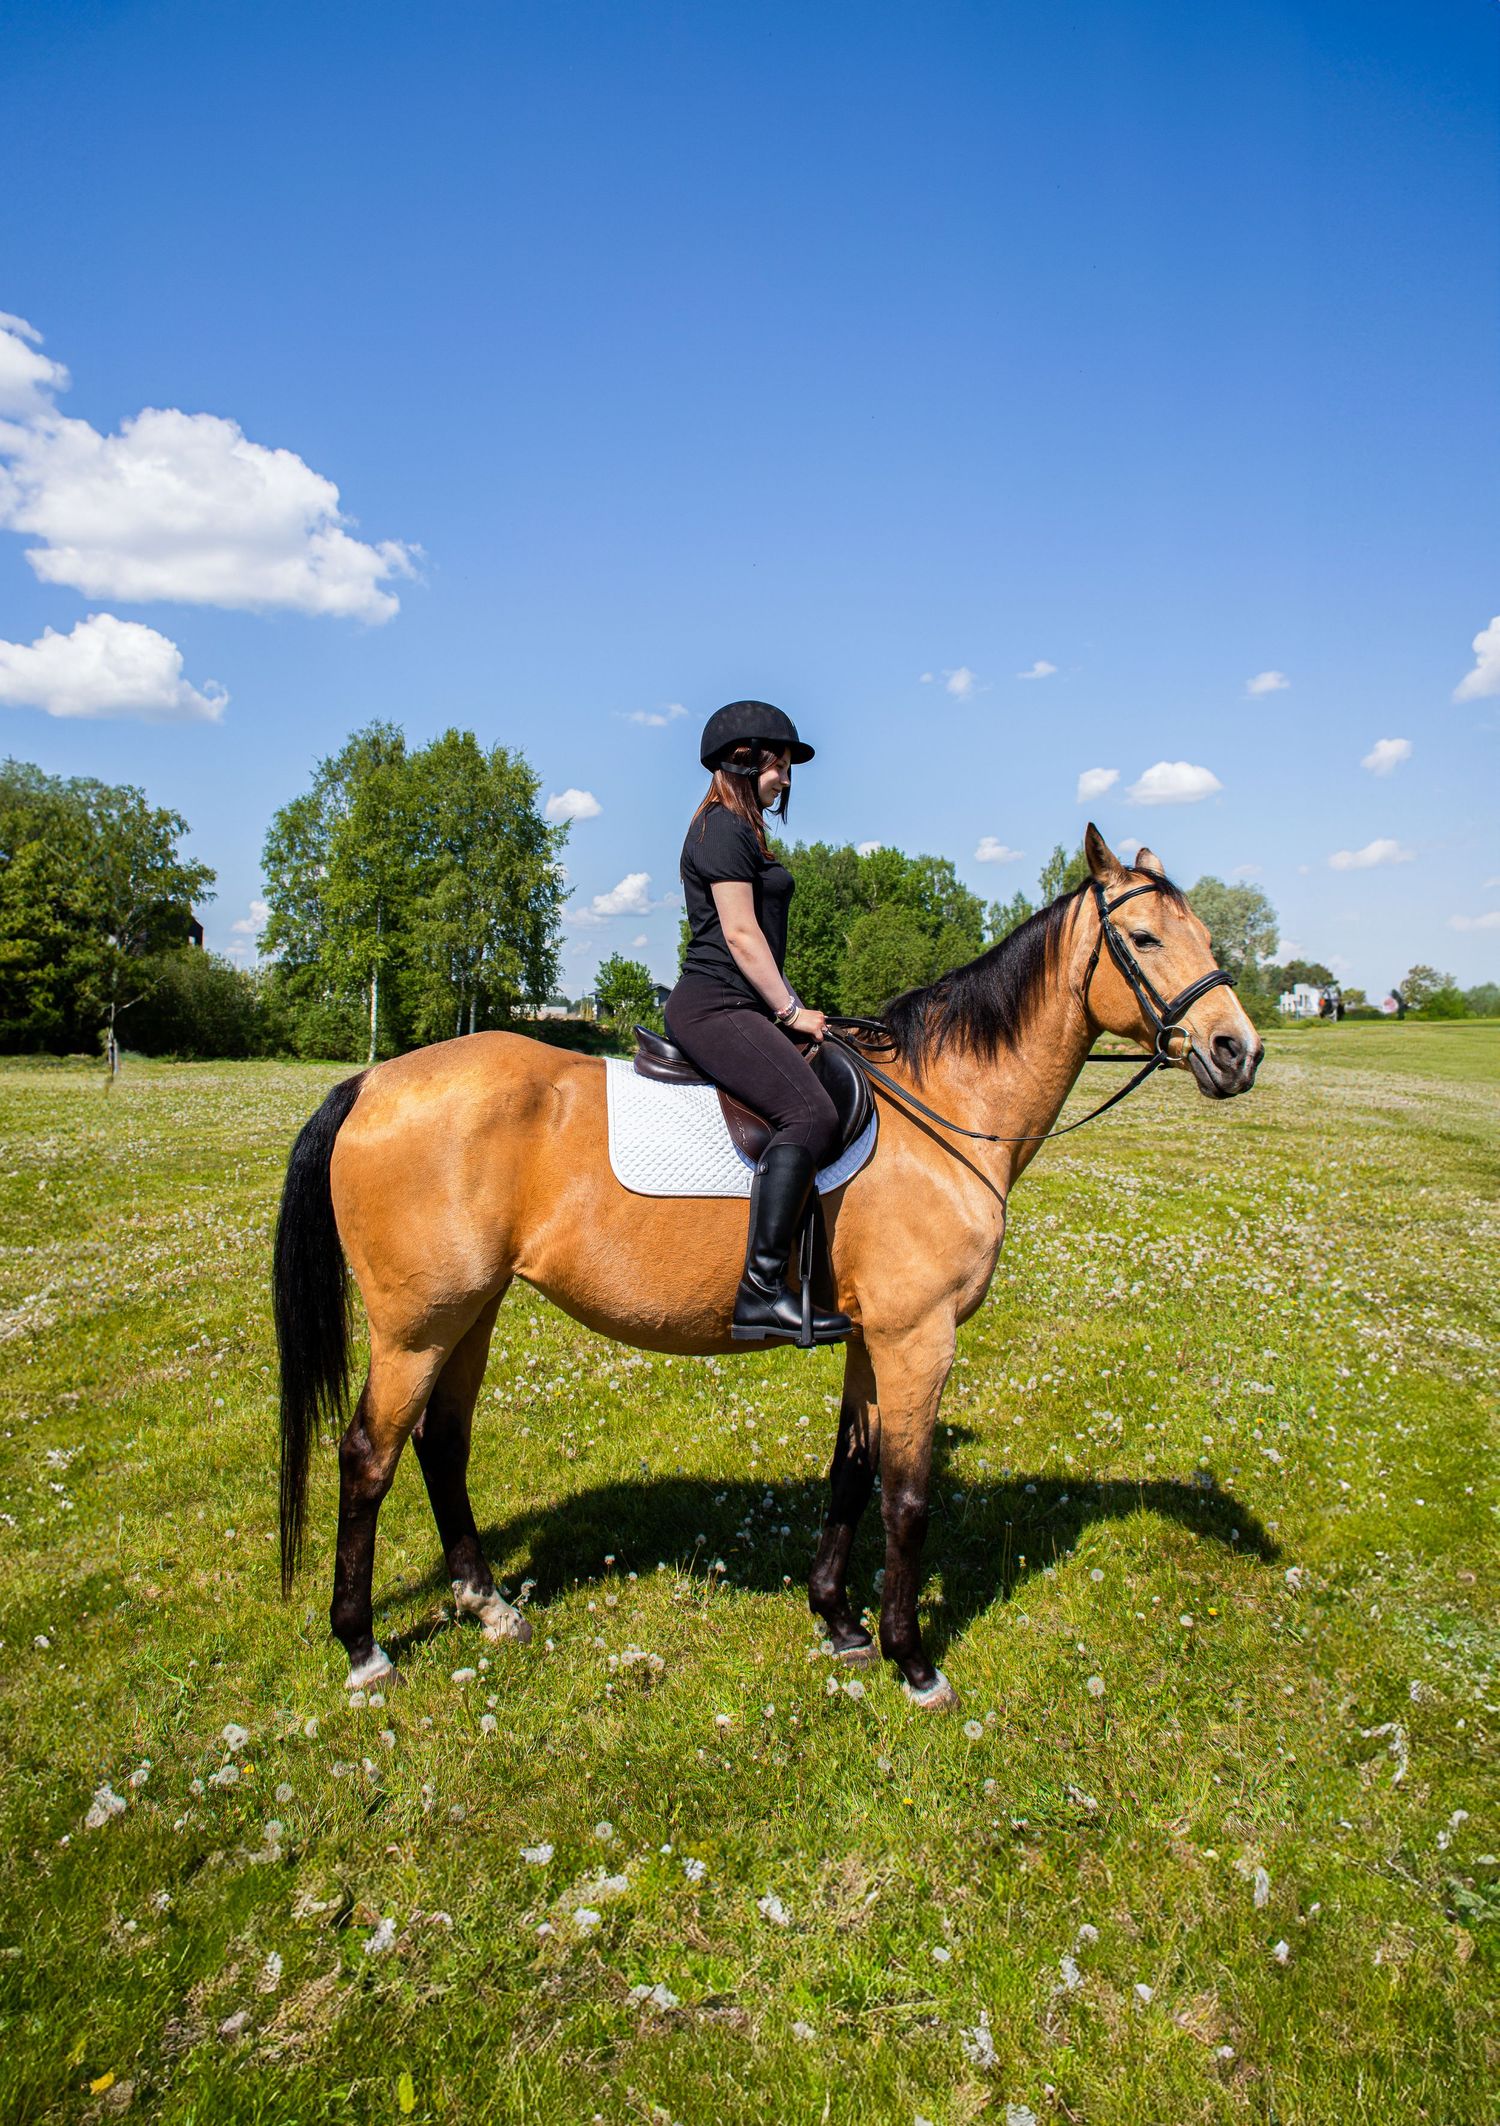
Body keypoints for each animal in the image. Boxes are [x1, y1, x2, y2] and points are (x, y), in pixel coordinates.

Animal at [273, 825, 1261, 1708]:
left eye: (1211, 941)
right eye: (1144, 940)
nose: (1237, 1051)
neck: (942, 1108)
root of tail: (372, 1082)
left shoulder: (874, 1337)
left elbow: (851, 1473)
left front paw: (841, 1623)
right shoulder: (919, 1338)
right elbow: (908, 1498)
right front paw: (914, 1662)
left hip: (470, 1312)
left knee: (442, 1443)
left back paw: (489, 1607)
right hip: (417, 1327)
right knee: (369, 1456)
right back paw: (363, 1648)